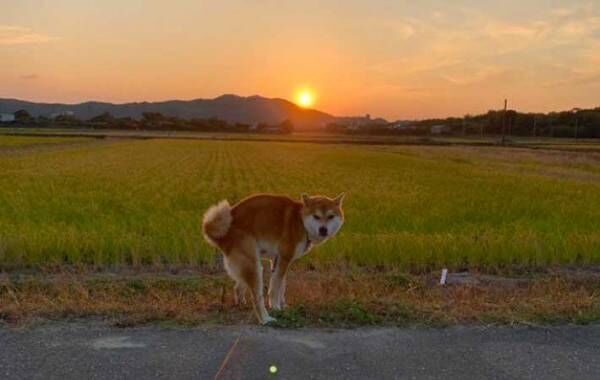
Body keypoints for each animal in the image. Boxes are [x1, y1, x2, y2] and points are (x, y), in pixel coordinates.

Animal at [202, 193, 344, 324]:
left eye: (331, 216)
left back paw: (241, 303)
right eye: (316, 216)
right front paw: (275, 307)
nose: (323, 229)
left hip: (248, 263)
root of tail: (222, 233)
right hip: (255, 266)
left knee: (238, 286)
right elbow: (275, 287)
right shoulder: (284, 258)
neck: (300, 221)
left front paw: (283, 305)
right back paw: (265, 319)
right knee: (256, 297)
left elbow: (282, 285)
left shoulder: (278, 260)